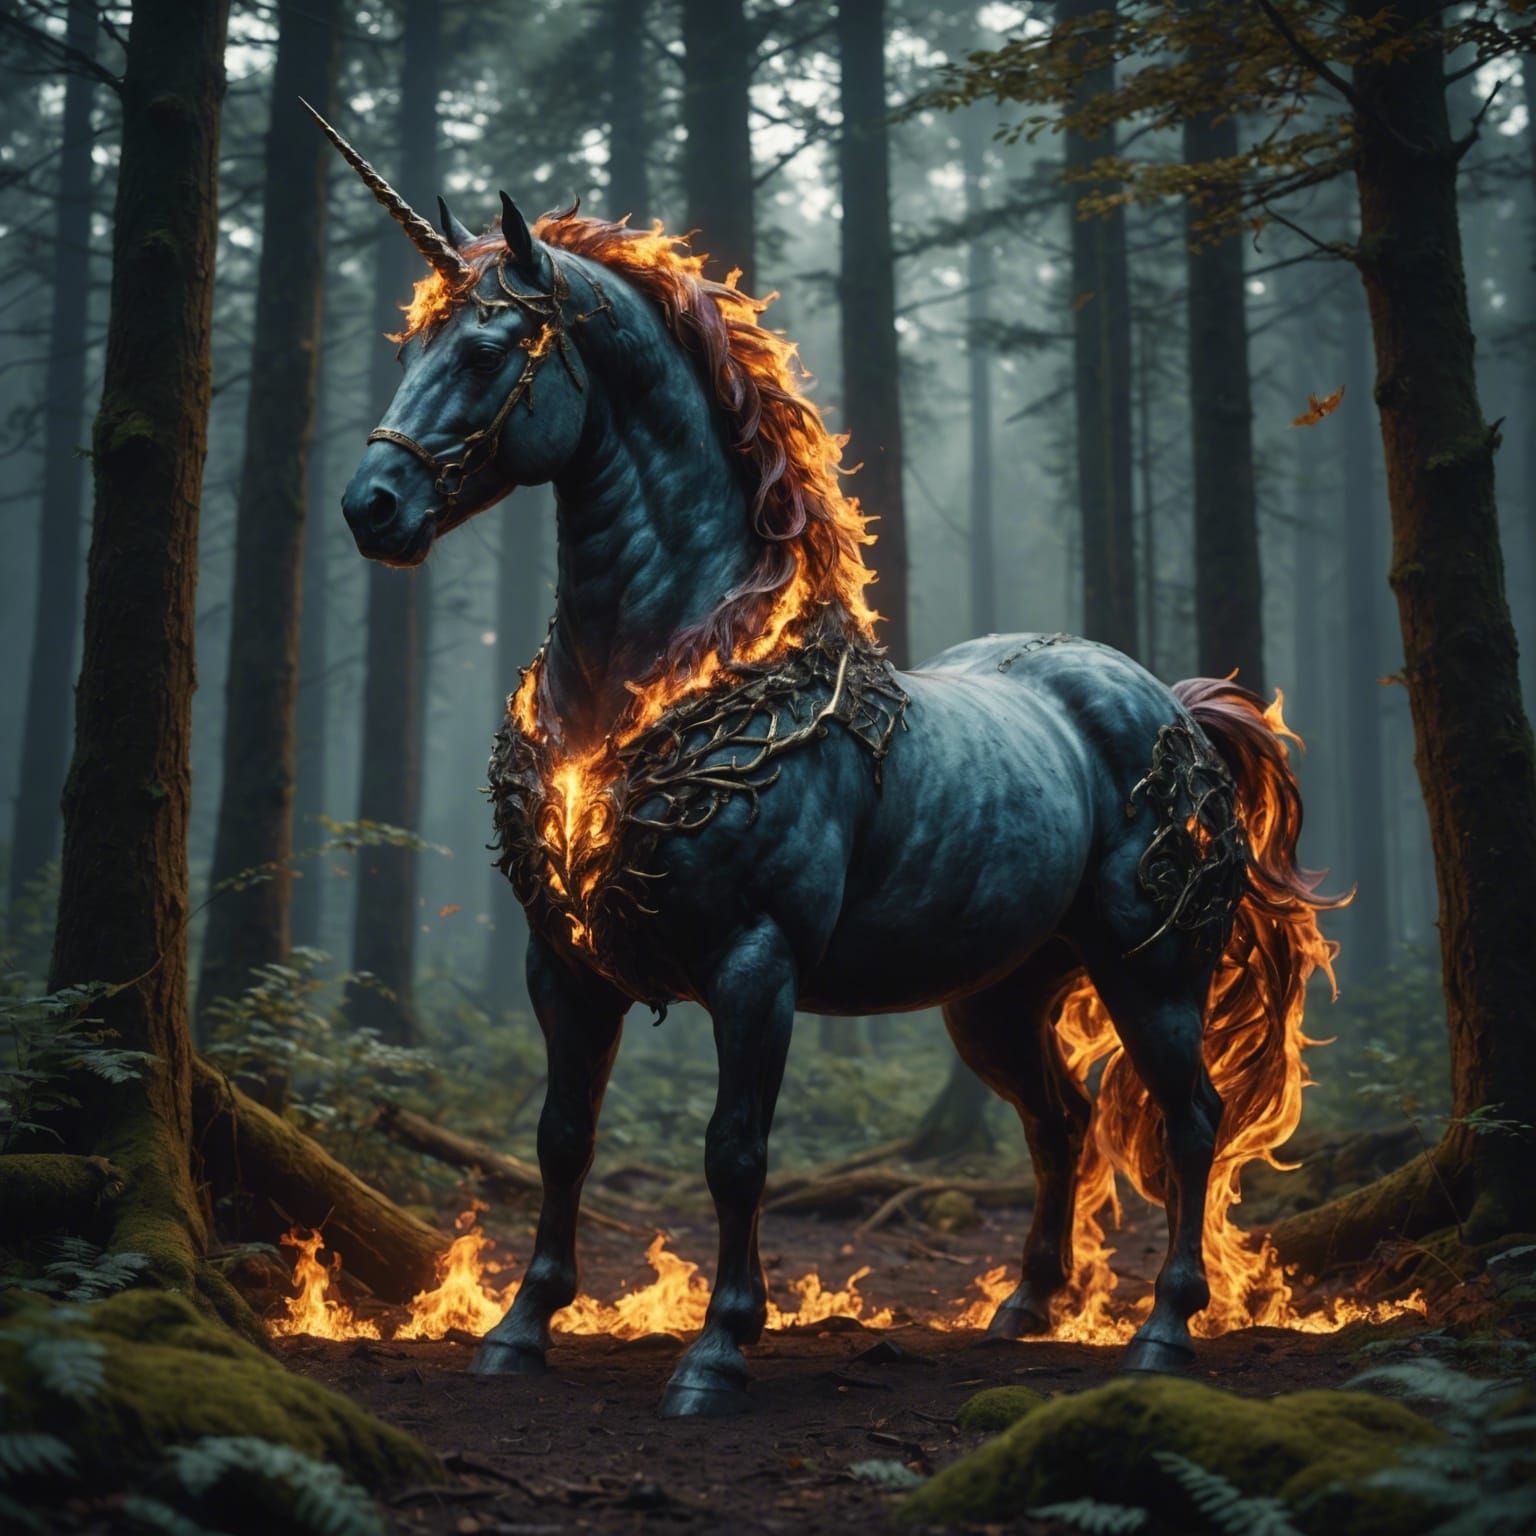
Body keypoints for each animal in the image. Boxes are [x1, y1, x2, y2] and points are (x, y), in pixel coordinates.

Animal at [312, 105, 1337, 1419]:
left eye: (490, 350)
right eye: (415, 341)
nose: (372, 506)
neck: (658, 678)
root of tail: (1171, 707)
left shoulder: (757, 967)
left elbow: (734, 1152)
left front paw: (716, 1351)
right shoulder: (564, 969)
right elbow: (561, 1138)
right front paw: (522, 1325)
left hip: (1148, 973)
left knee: (1190, 1118)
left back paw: (1163, 1329)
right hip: (997, 997)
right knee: (1060, 1123)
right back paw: (1025, 1307)